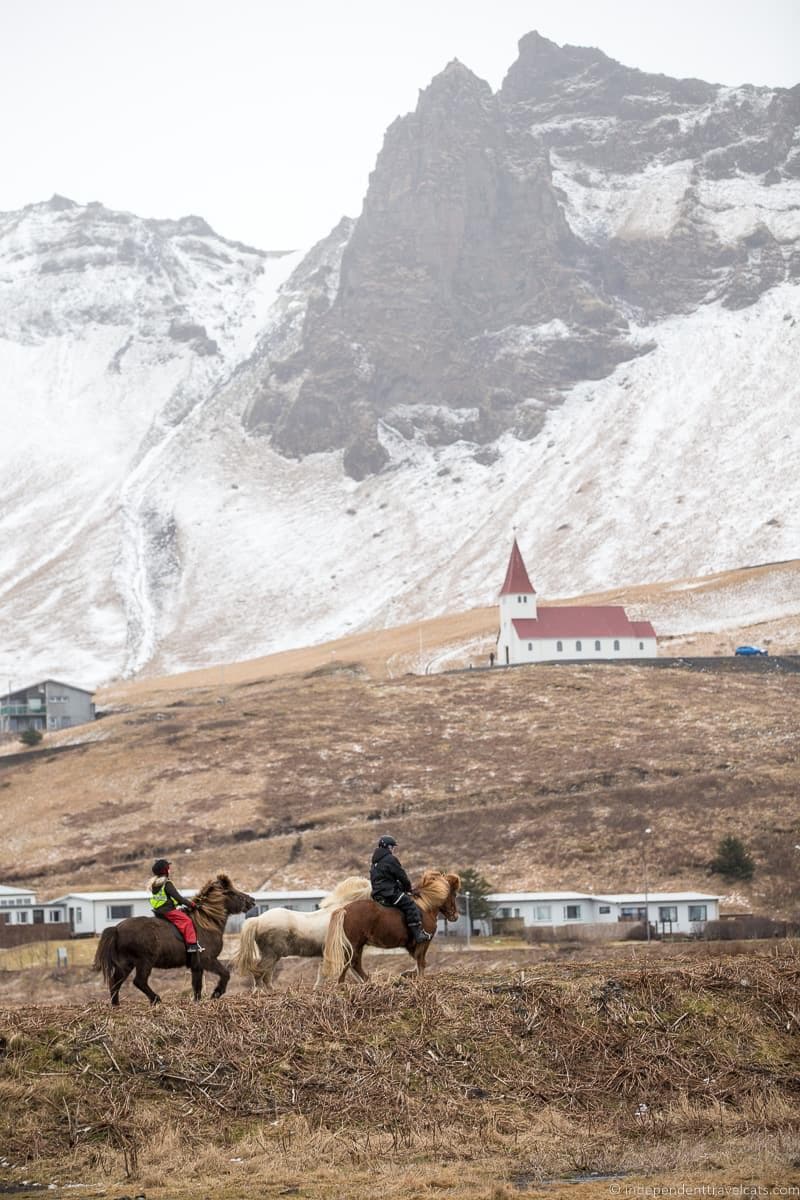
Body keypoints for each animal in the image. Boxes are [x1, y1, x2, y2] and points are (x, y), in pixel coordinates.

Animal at [93, 873, 256, 1003]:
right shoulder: (208, 960)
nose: (252, 900)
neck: (207, 922)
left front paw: (198, 1002)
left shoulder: (197, 965)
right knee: (139, 981)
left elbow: (197, 986)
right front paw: (216, 993)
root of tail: (116, 928)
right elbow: (225, 974)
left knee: (115, 983)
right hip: (144, 962)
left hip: (125, 964)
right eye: (231, 892)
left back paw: (116, 1005)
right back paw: (156, 999)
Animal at [319, 873, 455, 984]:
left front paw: (408, 974)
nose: (455, 916)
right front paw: (419, 979)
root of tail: (344, 909)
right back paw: (342, 984)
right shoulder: (424, 942)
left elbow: (418, 961)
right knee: (348, 963)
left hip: (359, 944)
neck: (425, 906)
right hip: (354, 944)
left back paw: (368, 981)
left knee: (355, 963)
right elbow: (421, 962)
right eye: (453, 893)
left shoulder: (412, 945)